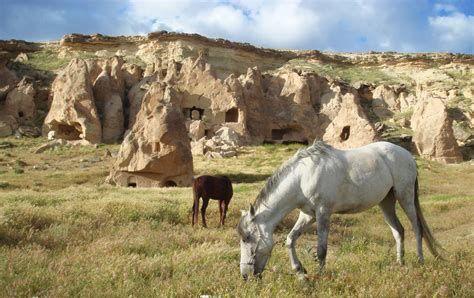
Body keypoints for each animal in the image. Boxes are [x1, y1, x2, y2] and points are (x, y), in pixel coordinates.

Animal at [239, 141, 442, 278]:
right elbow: (290, 239)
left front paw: (319, 276)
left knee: (417, 228)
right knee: (399, 231)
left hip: (405, 196)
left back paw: (420, 261)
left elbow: (321, 249)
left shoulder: (323, 213)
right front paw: (300, 271)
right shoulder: (308, 215)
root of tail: (408, 156)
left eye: (247, 238)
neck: (303, 176)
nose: (245, 275)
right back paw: (400, 263)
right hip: (386, 202)